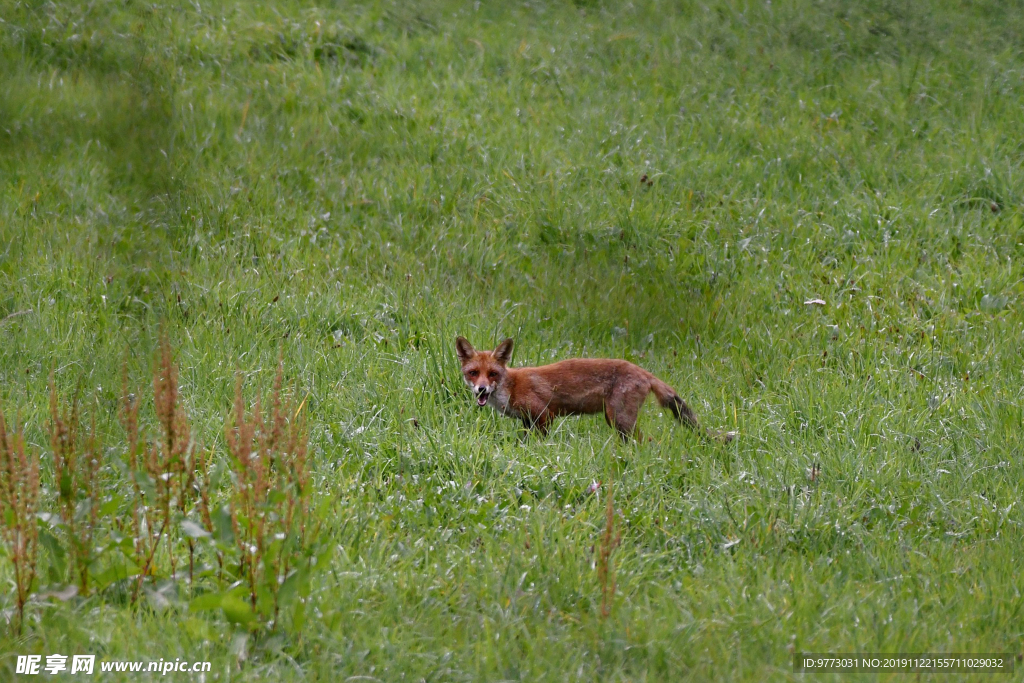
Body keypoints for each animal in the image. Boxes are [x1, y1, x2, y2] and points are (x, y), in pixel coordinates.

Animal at [456, 335, 737, 444]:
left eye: (493, 374)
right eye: (473, 373)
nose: (481, 390)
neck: (511, 387)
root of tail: (643, 371)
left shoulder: (544, 415)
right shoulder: (527, 421)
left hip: (619, 420)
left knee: (649, 443)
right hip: (616, 422)